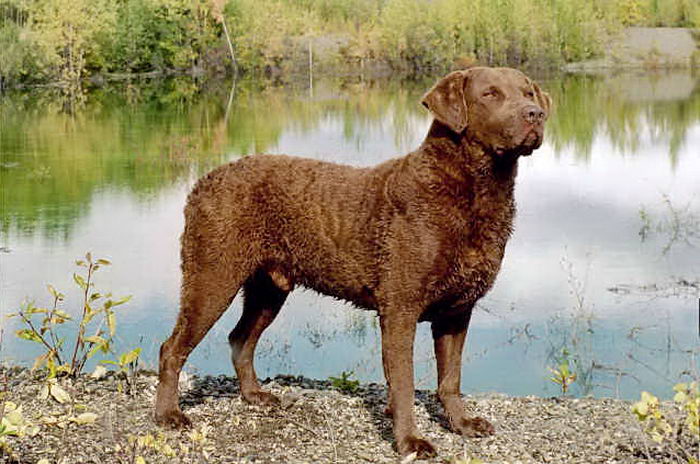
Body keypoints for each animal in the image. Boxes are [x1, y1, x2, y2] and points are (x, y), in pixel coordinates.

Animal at [157, 67, 552, 458]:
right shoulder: (400, 308)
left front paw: (462, 423)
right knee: (172, 349)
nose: (535, 114)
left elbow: (450, 379)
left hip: (268, 289)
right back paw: (168, 415)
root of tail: (202, 182)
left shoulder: (458, 310)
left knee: (240, 339)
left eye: (528, 93)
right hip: (212, 277)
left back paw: (254, 396)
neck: (471, 192)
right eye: (490, 94)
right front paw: (409, 441)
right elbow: (404, 384)